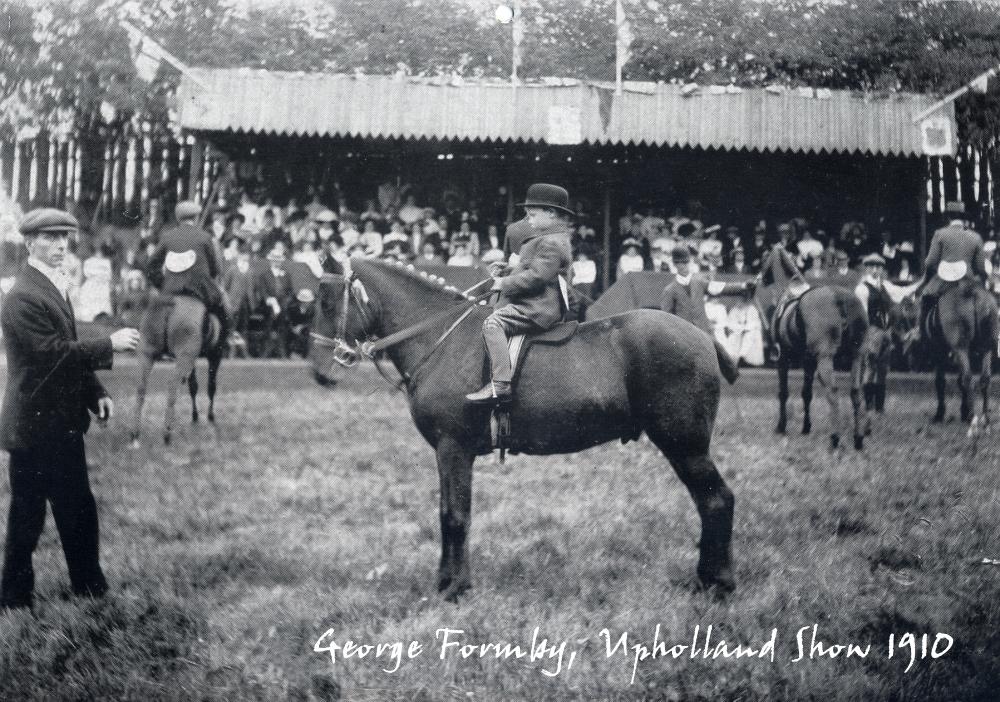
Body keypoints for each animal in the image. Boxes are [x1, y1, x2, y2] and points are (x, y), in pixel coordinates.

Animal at [131, 296, 225, 446]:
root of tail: (169, 302)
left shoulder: (195, 360)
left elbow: (193, 387)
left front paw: (195, 417)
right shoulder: (215, 354)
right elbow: (211, 387)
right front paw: (209, 417)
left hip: (146, 352)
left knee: (141, 387)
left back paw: (135, 434)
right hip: (184, 356)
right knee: (172, 385)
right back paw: (167, 433)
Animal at [312, 262, 744, 604]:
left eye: (327, 303)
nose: (320, 370)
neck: (442, 339)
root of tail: (701, 336)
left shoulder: (453, 449)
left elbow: (456, 516)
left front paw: (454, 588)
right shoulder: (449, 453)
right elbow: (447, 512)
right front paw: (446, 582)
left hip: (685, 446)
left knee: (717, 500)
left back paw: (716, 583)